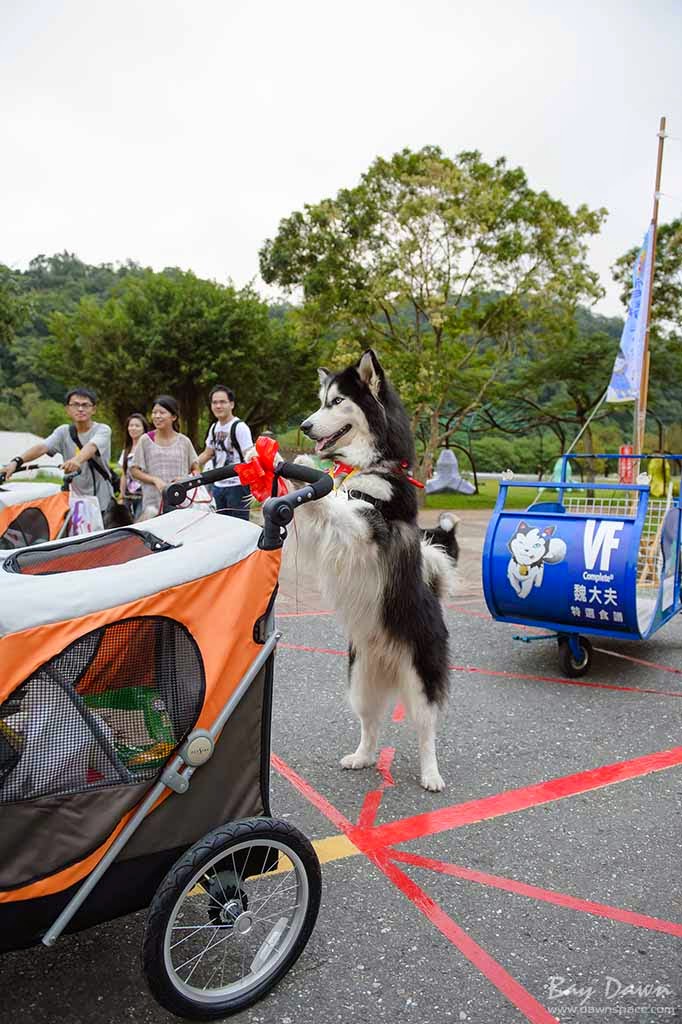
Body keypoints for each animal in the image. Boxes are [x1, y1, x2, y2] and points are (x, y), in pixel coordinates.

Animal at [284, 348, 454, 786]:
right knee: (370, 724)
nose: (304, 427)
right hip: (361, 679)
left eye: (337, 401)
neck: (370, 463)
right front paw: (286, 468)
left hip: (420, 678)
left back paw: (431, 774)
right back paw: (362, 757)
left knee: (426, 731)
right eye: (321, 400)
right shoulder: (327, 535)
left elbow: (341, 507)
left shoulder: (374, 527)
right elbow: (319, 506)